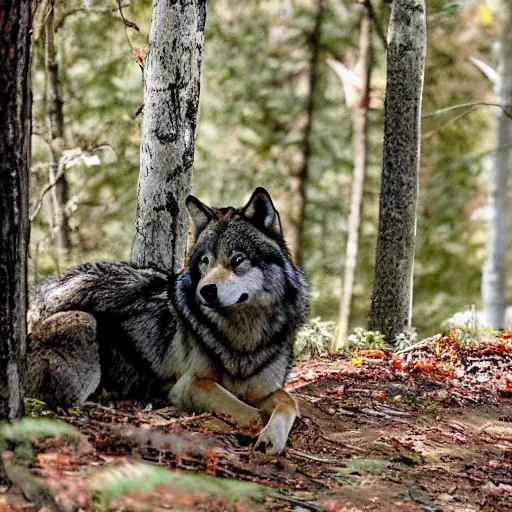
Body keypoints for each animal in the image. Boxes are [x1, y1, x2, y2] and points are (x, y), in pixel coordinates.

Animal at [27, 188, 308, 452]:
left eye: (237, 260)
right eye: (205, 261)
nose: (205, 291)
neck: (243, 339)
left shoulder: (261, 390)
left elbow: (289, 402)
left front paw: (272, 438)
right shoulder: (191, 385)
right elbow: (254, 414)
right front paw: (256, 430)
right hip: (84, 323)